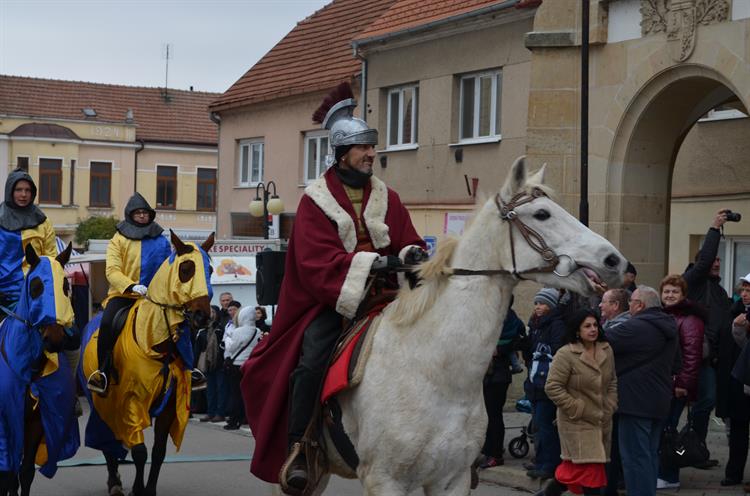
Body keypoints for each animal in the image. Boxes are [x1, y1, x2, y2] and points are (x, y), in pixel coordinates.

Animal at [0, 244, 75, 496]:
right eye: (35, 287)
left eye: (65, 287)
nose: (54, 339)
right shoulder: (6, 420)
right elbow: (6, 474)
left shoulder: (35, 422)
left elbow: (24, 473)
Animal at [81, 232, 213, 496]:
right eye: (186, 269)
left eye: (211, 269)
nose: (203, 316)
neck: (153, 342)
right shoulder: (132, 401)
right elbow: (140, 452)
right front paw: (137, 489)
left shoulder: (169, 406)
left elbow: (158, 452)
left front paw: (148, 489)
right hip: (99, 401)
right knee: (107, 442)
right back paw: (114, 483)